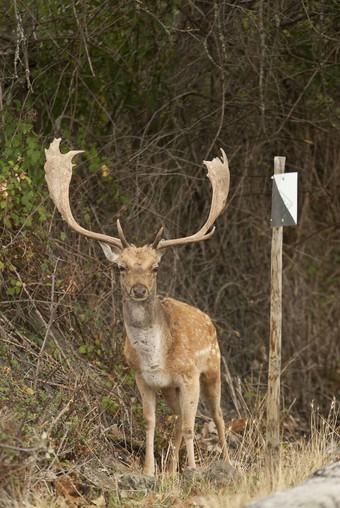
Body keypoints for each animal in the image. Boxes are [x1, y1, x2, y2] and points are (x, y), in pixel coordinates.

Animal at [44, 139, 231, 476]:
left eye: (155, 268)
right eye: (121, 267)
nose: (139, 290)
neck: (156, 358)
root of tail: (208, 319)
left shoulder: (188, 376)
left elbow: (191, 427)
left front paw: (193, 471)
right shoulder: (142, 378)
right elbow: (150, 423)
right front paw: (149, 471)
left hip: (213, 366)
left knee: (218, 416)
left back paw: (226, 461)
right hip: (171, 389)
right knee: (178, 419)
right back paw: (171, 468)